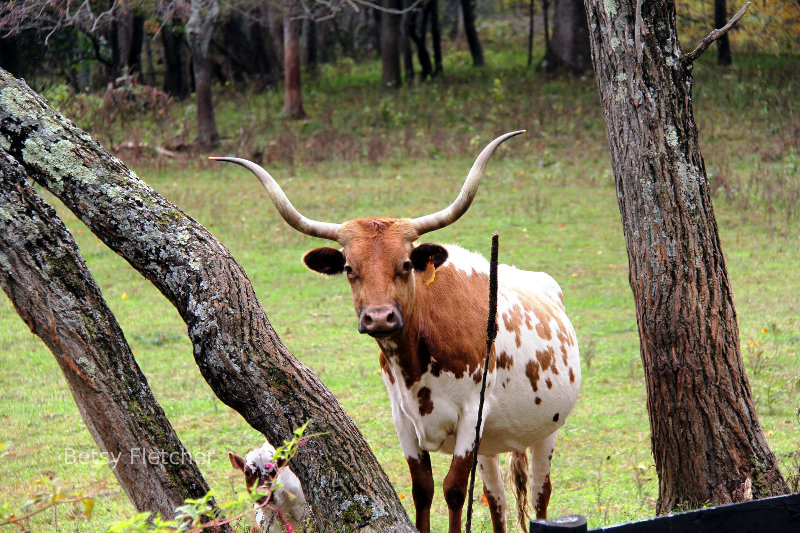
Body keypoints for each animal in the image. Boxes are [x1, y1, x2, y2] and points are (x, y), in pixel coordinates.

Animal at [212, 132, 580, 532]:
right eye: (349, 268)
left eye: (405, 264)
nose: (379, 318)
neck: (418, 358)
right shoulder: (403, 419)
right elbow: (424, 489)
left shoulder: (472, 415)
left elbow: (453, 490)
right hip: (491, 444)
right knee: (496, 500)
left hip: (546, 430)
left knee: (540, 495)